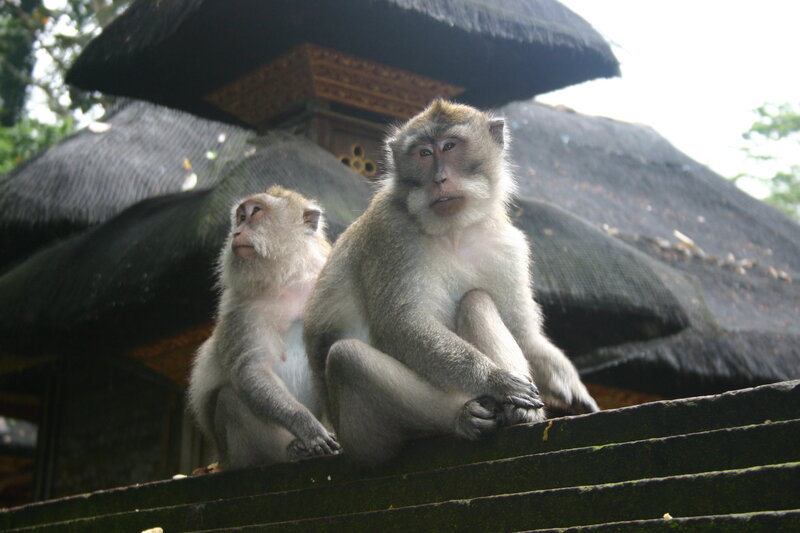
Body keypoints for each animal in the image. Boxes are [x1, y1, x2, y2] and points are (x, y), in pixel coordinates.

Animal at [188, 186, 341, 470]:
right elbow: (252, 369)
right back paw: (292, 451)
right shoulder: (238, 307)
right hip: (243, 452)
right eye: (240, 217)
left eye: (255, 212)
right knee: (229, 399)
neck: (289, 278)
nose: (236, 232)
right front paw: (308, 428)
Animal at [304, 99, 598, 464]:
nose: (440, 178)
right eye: (423, 153)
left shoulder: (509, 246)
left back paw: (520, 414)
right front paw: (496, 380)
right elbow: (402, 325)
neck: (455, 231)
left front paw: (573, 389)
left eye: (449, 147)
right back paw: (463, 417)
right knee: (347, 358)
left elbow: (524, 335)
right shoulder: (391, 230)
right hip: (363, 439)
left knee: (476, 299)